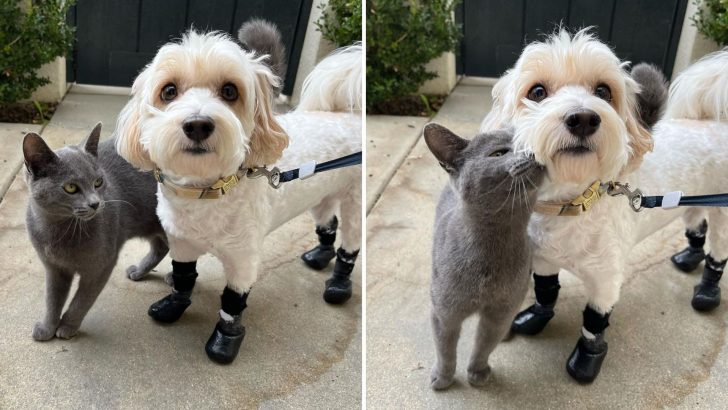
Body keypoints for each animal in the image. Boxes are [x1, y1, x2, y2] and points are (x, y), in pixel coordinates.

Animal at [23, 123, 168, 342]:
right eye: (71, 187)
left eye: (98, 182)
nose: (95, 203)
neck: (60, 231)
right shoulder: (54, 268)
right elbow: (52, 299)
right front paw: (47, 328)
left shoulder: (100, 267)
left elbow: (81, 301)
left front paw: (67, 327)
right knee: (161, 247)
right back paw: (139, 271)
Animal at [115, 27, 362, 364]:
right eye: (169, 91)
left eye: (230, 91)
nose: (197, 124)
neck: (206, 192)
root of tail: (348, 115)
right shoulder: (181, 243)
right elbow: (183, 278)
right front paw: (172, 306)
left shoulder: (243, 260)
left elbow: (233, 302)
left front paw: (224, 342)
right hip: (320, 194)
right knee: (328, 223)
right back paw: (319, 255)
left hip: (354, 201)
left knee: (350, 242)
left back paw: (339, 282)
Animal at [424, 123, 544, 390]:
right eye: (499, 153)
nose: (533, 151)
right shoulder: (445, 314)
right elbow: (445, 350)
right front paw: (443, 378)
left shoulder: (499, 312)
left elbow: (484, 346)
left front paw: (477, 373)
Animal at [484, 29, 728, 384]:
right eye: (537, 92)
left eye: (603, 91)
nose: (583, 119)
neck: (571, 204)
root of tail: (717, 124)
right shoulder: (543, 260)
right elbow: (546, 292)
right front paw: (536, 317)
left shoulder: (605, 281)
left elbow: (594, 322)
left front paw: (586, 360)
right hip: (691, 200)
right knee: (697, 226)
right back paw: (688, 257)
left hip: (723, 213)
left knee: (718, 252)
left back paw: (708, 291)